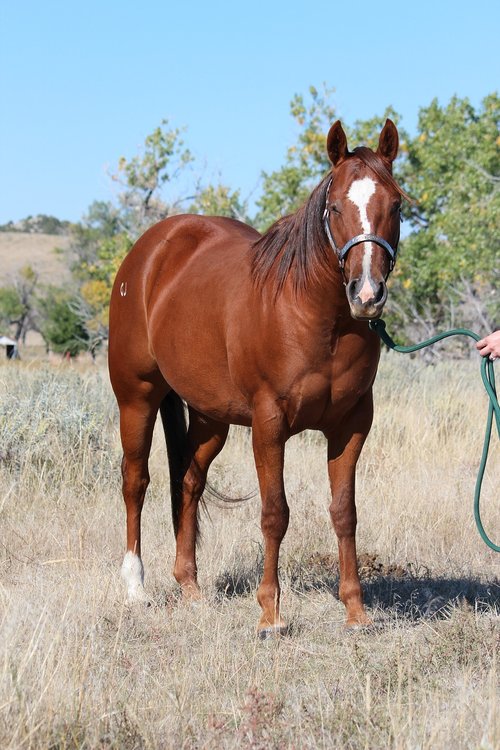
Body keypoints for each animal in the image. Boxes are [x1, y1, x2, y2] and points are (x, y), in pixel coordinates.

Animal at [108, 120, 406, 636]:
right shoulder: (270, 425)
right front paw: (270, 614)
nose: (366, 294)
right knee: (135, 482)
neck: (316, 317)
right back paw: (136, 588)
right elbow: (274, 514)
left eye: (396, 205)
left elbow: (344, 513)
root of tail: (149, 251)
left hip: (211, 417)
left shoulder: (351, 426)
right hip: (137, 399)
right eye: (334, 207)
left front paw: (356, 611)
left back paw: (190, 587)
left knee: (189, 482)